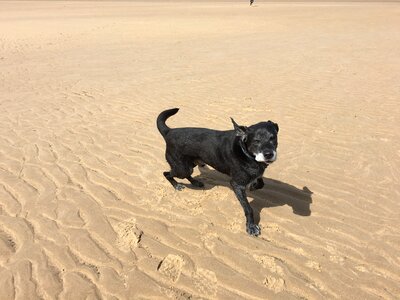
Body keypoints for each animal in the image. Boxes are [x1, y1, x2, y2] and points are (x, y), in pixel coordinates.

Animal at [156, 108, 278, 237]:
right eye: (256, 141)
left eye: (273, 138)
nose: (269, 154)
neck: (244, 151)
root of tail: (169, 132)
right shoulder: (237, 184)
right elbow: (248, 208)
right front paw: (251, 226)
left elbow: (260, 182)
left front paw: (254, 185)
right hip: (181, 168)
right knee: (166, 173)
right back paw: (177, 185)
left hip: (190, 164)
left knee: (185, 173)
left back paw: (195, 182)